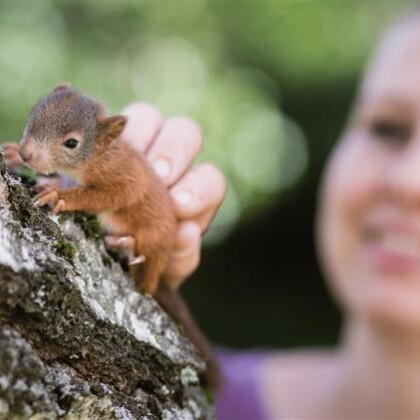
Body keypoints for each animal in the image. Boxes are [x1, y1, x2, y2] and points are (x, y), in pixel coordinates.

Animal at [9, 85, 221, 390]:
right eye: (33, 114)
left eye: (71, 143)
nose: (26, 153)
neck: (97, 156)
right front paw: (12, 154)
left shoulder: (123, 177)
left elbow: (109, 195)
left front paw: (60, 194)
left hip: (152, 239)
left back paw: (128, 247)